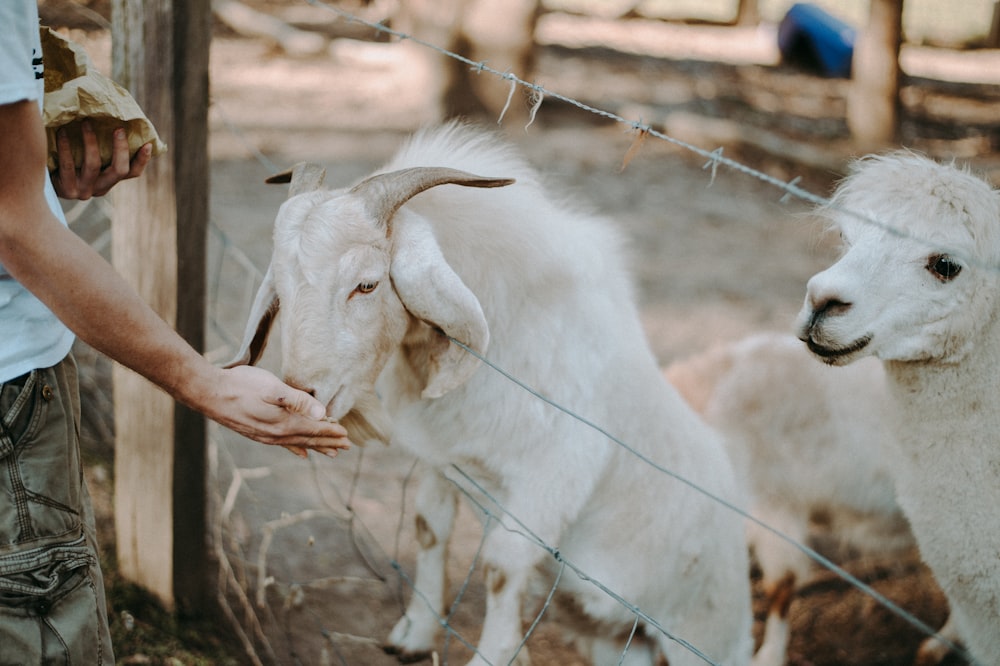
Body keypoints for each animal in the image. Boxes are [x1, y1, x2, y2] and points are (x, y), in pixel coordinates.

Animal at [232, 122, 752, 660]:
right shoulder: (447, 458)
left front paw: (491, 655)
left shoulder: (551, 477)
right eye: (282, 287)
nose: (303, 393)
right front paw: (415, 634)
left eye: (368, 284)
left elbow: (503, 566)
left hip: (700, 635)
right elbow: (429, 528)